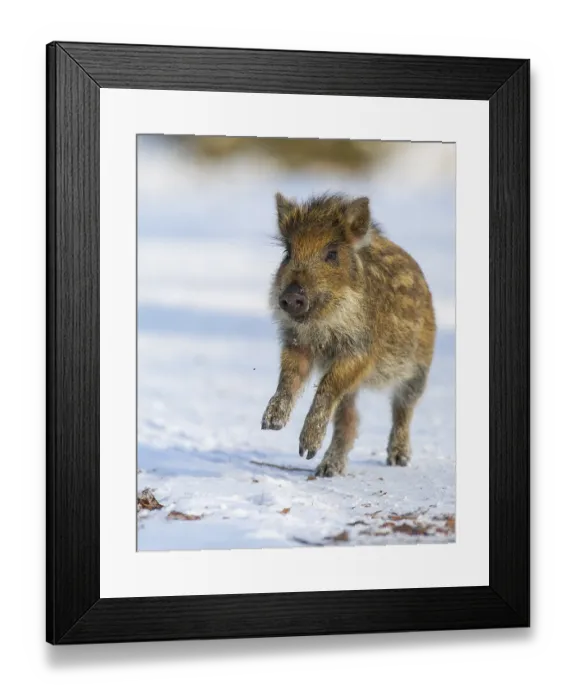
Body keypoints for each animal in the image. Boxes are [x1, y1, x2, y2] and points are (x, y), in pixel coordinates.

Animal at [261, 192, 436, 477]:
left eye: (332, 254)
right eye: (288, 253)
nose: (291, 296)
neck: (323, 327)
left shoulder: (360, 350)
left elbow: (327, 386)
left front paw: (303, 446)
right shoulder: (296, 342)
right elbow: (289, 376)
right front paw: (271, 424)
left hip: (419, 368)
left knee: (403, 408)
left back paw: (398, 460)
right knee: (350, 420)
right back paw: (325, 468)